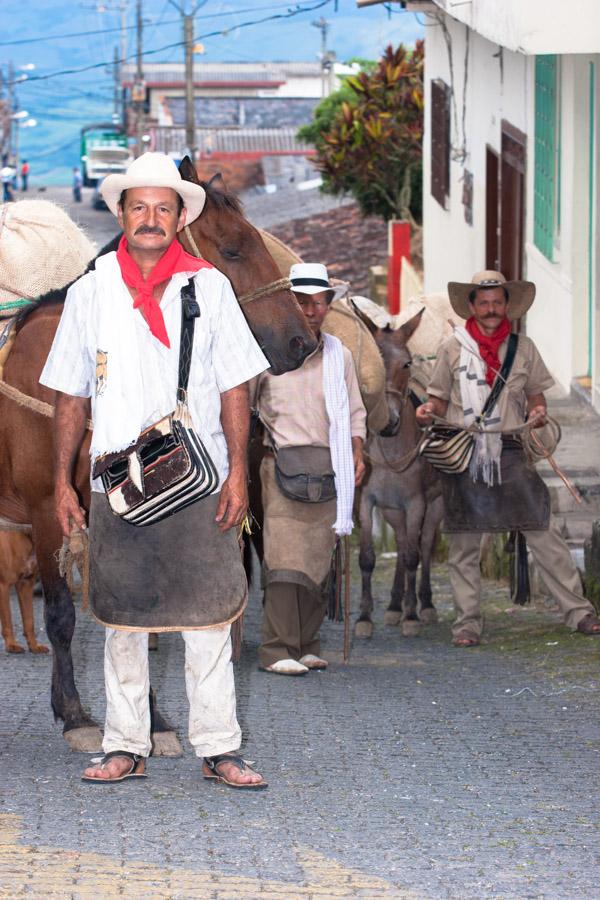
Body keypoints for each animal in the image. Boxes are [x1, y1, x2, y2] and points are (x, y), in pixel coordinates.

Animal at [0, 167, 316, 752]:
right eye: (234, 248)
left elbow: (134, 615)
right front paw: (75, 714)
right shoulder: (47, 509)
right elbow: (60, 616)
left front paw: (153, 721)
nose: (302, 343)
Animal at [352, 310, 446, 640]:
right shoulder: (366, 500)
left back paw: (423, 605)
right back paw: (394, 606)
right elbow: (367, 558)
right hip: (393, 510)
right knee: (404, 539)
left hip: (435, 504)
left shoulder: (416, 502)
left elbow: (413, 556)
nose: (389, 421)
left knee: (423, 545)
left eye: (406, 363)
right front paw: (364, 618)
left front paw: (412, 615)